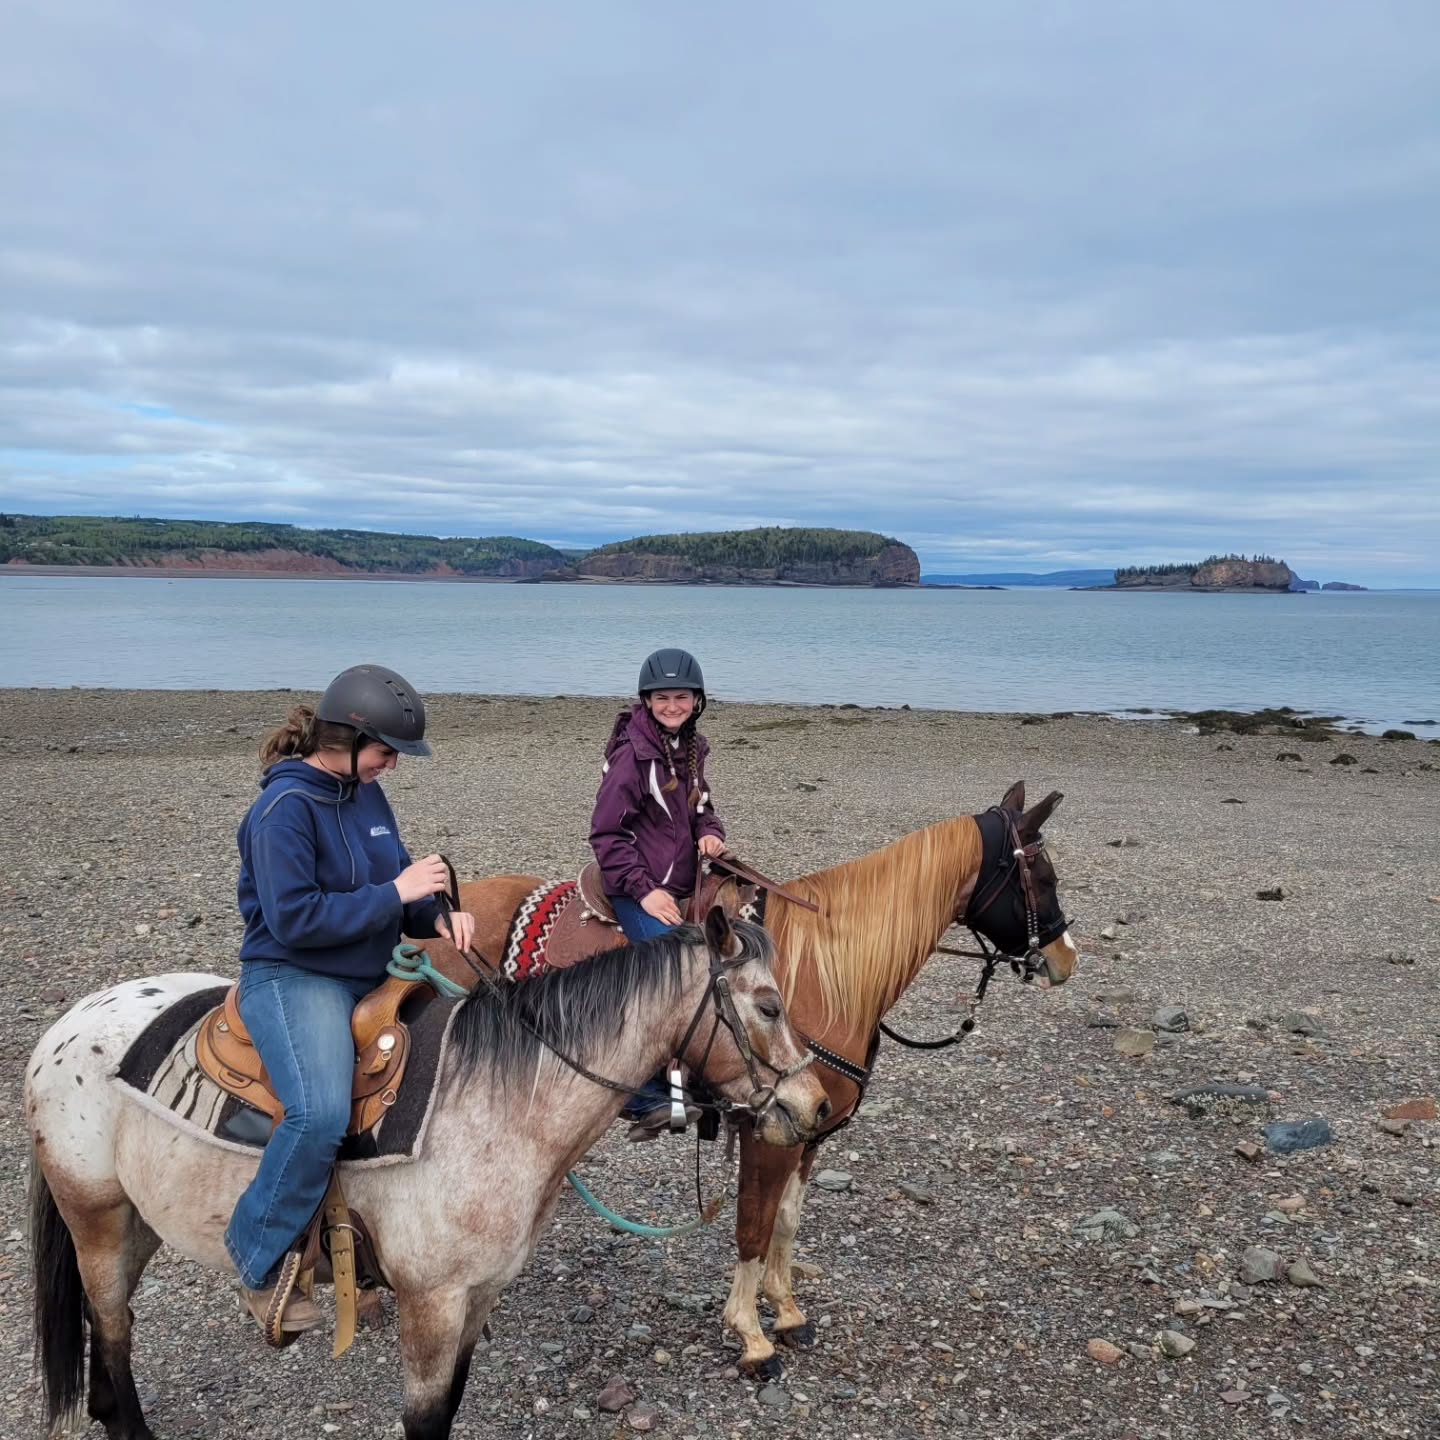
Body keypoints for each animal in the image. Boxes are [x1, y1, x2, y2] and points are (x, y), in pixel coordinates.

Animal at [26, 911, 832, 1440]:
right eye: (769, 1005)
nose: (815, 1105)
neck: (498, 1106)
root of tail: (65, 1027)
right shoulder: (430, 1304)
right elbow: (421, 1419)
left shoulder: (476, 1298)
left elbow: (447, 1412)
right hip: (96, 1218)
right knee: (115, 1326)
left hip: (135, 1223)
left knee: (107, 1320)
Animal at [451, 780, 1078, 1376]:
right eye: (1043, 876)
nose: (1066, 959)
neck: (824, 977)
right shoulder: (768, 1133)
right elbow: (752, 1227)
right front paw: (751, 1337)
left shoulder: (811, 1131)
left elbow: (786, 1222)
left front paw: (788, 1312)